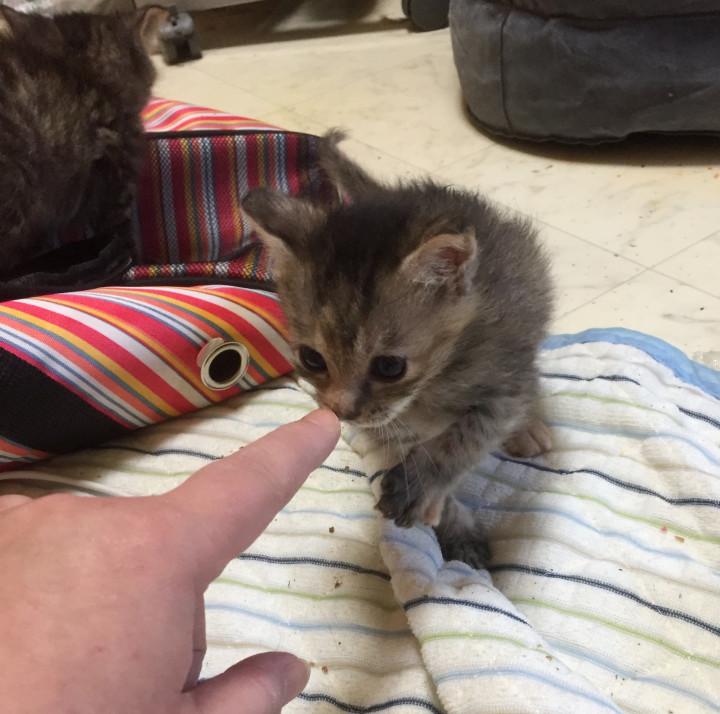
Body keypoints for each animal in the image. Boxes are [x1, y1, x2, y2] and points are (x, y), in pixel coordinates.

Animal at [241, 131, 554, 567]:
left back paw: (530, 427)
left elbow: (468, 435)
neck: (430, 388)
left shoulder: (504, 382)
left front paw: (420, 484)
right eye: (312, 358)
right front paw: (452, 527)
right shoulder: (387, 429)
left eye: (390, 367)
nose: (343, 412)